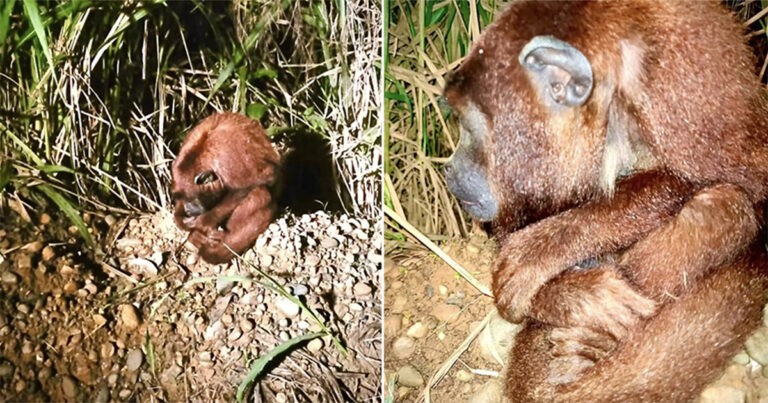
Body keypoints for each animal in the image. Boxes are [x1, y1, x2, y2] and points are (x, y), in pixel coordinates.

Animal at [170, 113, 280, 266]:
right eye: (182, 198)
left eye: (193, 199)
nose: (188, 209)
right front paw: (183, 221)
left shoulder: (227, 157)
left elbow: (256, 181)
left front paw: (203, 223)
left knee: (259, 193)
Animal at [440, 1, 768, 402]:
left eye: (467, 125)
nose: (450, 169)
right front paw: (574, 295)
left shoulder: (679, 91)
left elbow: (744, 184)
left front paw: (537, 254)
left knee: (720, 206)